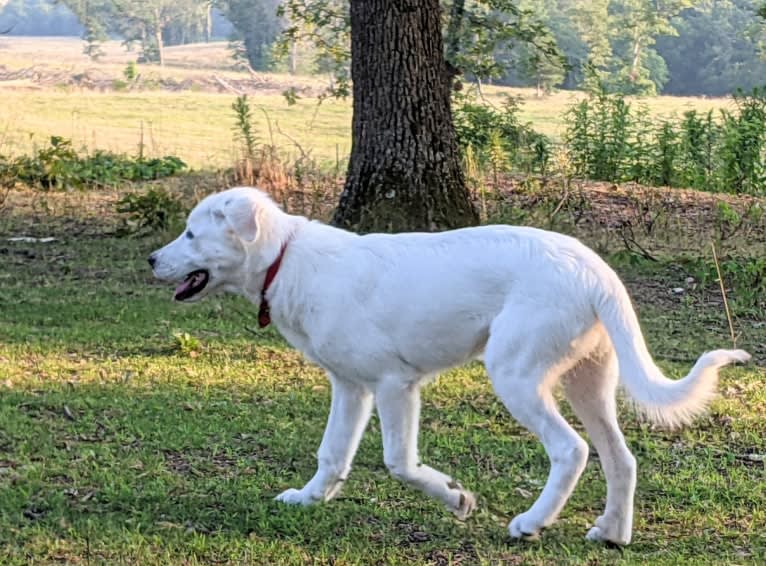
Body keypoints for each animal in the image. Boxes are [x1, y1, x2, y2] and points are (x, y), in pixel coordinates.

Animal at [150, 189, 752, 548]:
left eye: (191, 233)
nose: (152, 260)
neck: (285, 257)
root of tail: (596, 271)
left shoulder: (394, 385)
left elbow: (399, 463)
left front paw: (456, 498)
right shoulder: (350, 387)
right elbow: (332, 455)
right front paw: (308, 499)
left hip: (516, 375)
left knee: (572, 450)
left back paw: (531, 524)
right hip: (589, 380)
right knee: (619, 457)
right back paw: (613, 533)